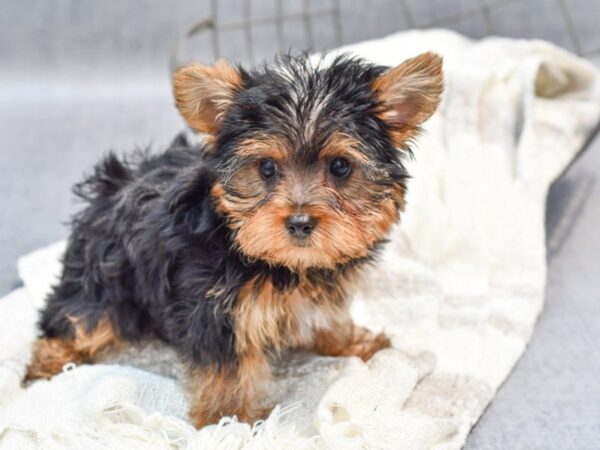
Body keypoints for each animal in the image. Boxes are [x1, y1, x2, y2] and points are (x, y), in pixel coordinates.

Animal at [25, 51, 442, 426]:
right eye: (267, 168)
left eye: (340, 167)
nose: (300, 222)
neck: (286, 263)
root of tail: (111, 185)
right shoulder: (211, 305)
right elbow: (225, 364)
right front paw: (229, 418)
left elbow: (328, 316)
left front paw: (351, 342)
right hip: (105, 278)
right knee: (77, 317)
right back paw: (47, 361)